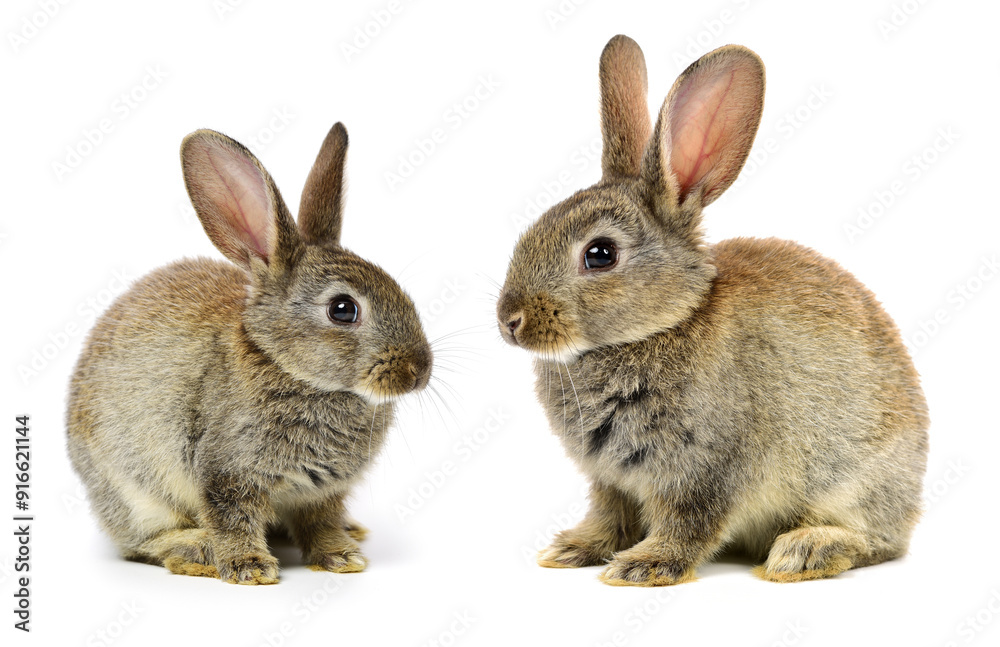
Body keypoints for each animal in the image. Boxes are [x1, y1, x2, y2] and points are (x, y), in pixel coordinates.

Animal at [66, 123, 432, 585]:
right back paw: (195, 550)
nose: (419, 371)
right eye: (342, 309)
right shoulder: (226, 471)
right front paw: (251, 568)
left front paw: (340, 557)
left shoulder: (322, 491)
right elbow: (232, 517)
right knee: (142, 541)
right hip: (133, 492)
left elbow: (321, 522)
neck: (288, 366)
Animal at [496, 35, 928, 586]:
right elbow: (610, 518)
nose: (509, 321)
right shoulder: (610, 481)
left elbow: (689, 522)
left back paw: (804, 551)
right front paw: (573, 550)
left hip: (858, 483)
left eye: (600, 254)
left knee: (876, 541)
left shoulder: (706, 469)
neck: (661, 325)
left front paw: (642, 567)